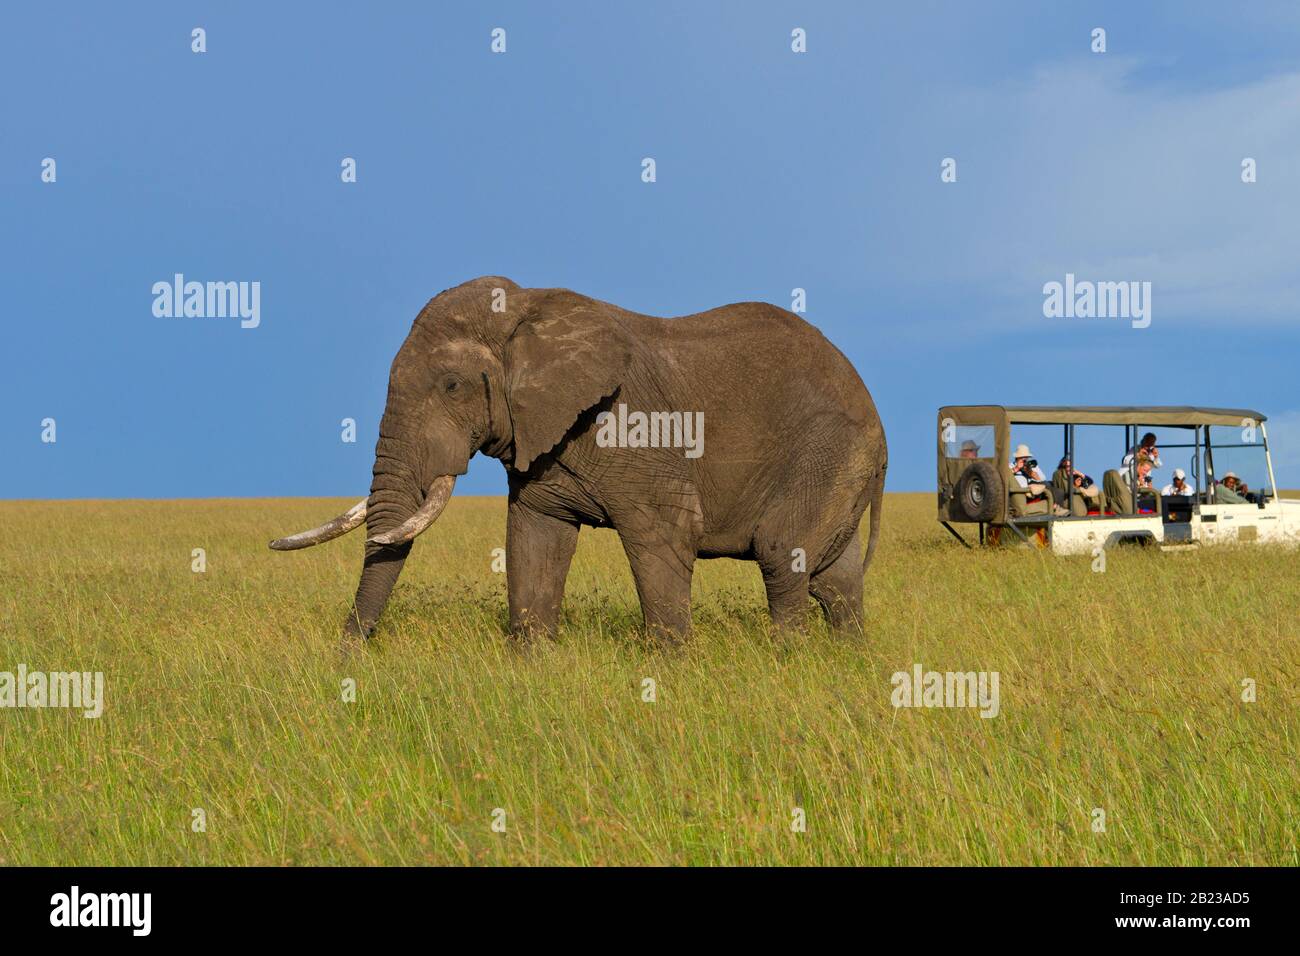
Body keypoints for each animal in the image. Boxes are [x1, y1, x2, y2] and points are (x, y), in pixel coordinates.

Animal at [271, 274, 883, 642]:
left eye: (451, 386)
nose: (349, 656)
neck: (525, 310)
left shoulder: (638, 429)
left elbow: (664, 537)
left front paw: (668, 671)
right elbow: (534, 541)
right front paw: (532, 664)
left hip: (828, 449)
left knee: (783, 557)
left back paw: (789, 659)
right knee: (834, 581)